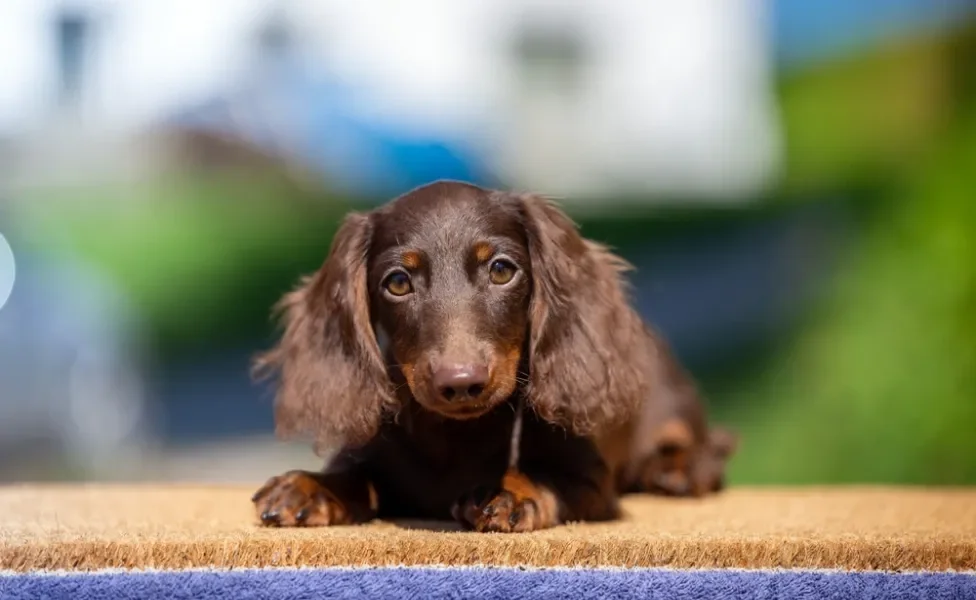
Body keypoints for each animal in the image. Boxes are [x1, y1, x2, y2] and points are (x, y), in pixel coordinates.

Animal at [248, 180, 736, 532]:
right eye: (398, 282)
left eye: (501, 270)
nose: (461, 383)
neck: (459, 437)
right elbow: (354, 474)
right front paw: (311, 487)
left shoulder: (592, 482)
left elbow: (545, 476)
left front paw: (509, 491)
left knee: (706, 446)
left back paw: (677, 468)